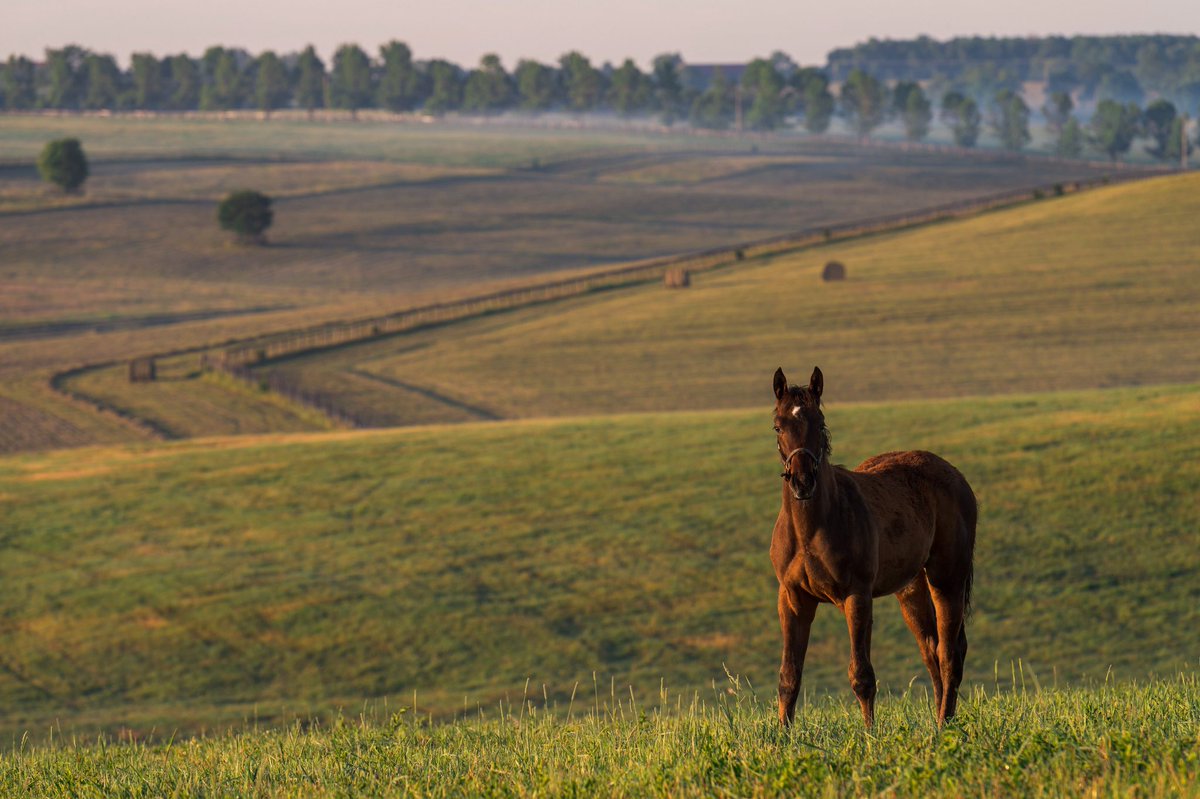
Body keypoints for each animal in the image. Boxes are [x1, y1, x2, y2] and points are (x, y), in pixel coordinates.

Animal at [769, 366, 977, 728]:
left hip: (947, 578)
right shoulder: (793, 599)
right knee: (932, 649)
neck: (812, 530)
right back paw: (940, 722)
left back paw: (943, 725)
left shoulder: (857, 595)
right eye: (778, 426)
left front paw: (869, 734)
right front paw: (783, 737)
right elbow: (789, 677)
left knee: (950, 652)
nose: (802, 482)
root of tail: (957, 477)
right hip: (912, 588)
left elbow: (862, 675)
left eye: (819, 423)